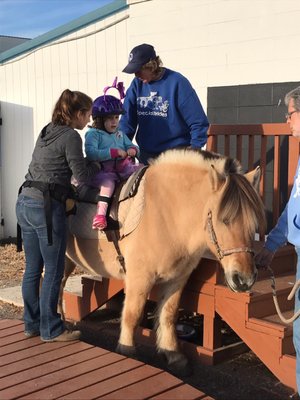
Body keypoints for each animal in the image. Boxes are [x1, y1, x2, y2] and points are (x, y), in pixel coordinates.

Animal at [61, 148, 264, 376]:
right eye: (224, 220)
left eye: (254, 223)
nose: (244, 279)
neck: (167, 216)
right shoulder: (139, 278)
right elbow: (132, 316)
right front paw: (127, 352)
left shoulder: (177, 278)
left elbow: (168, 314)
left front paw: (172, 353)